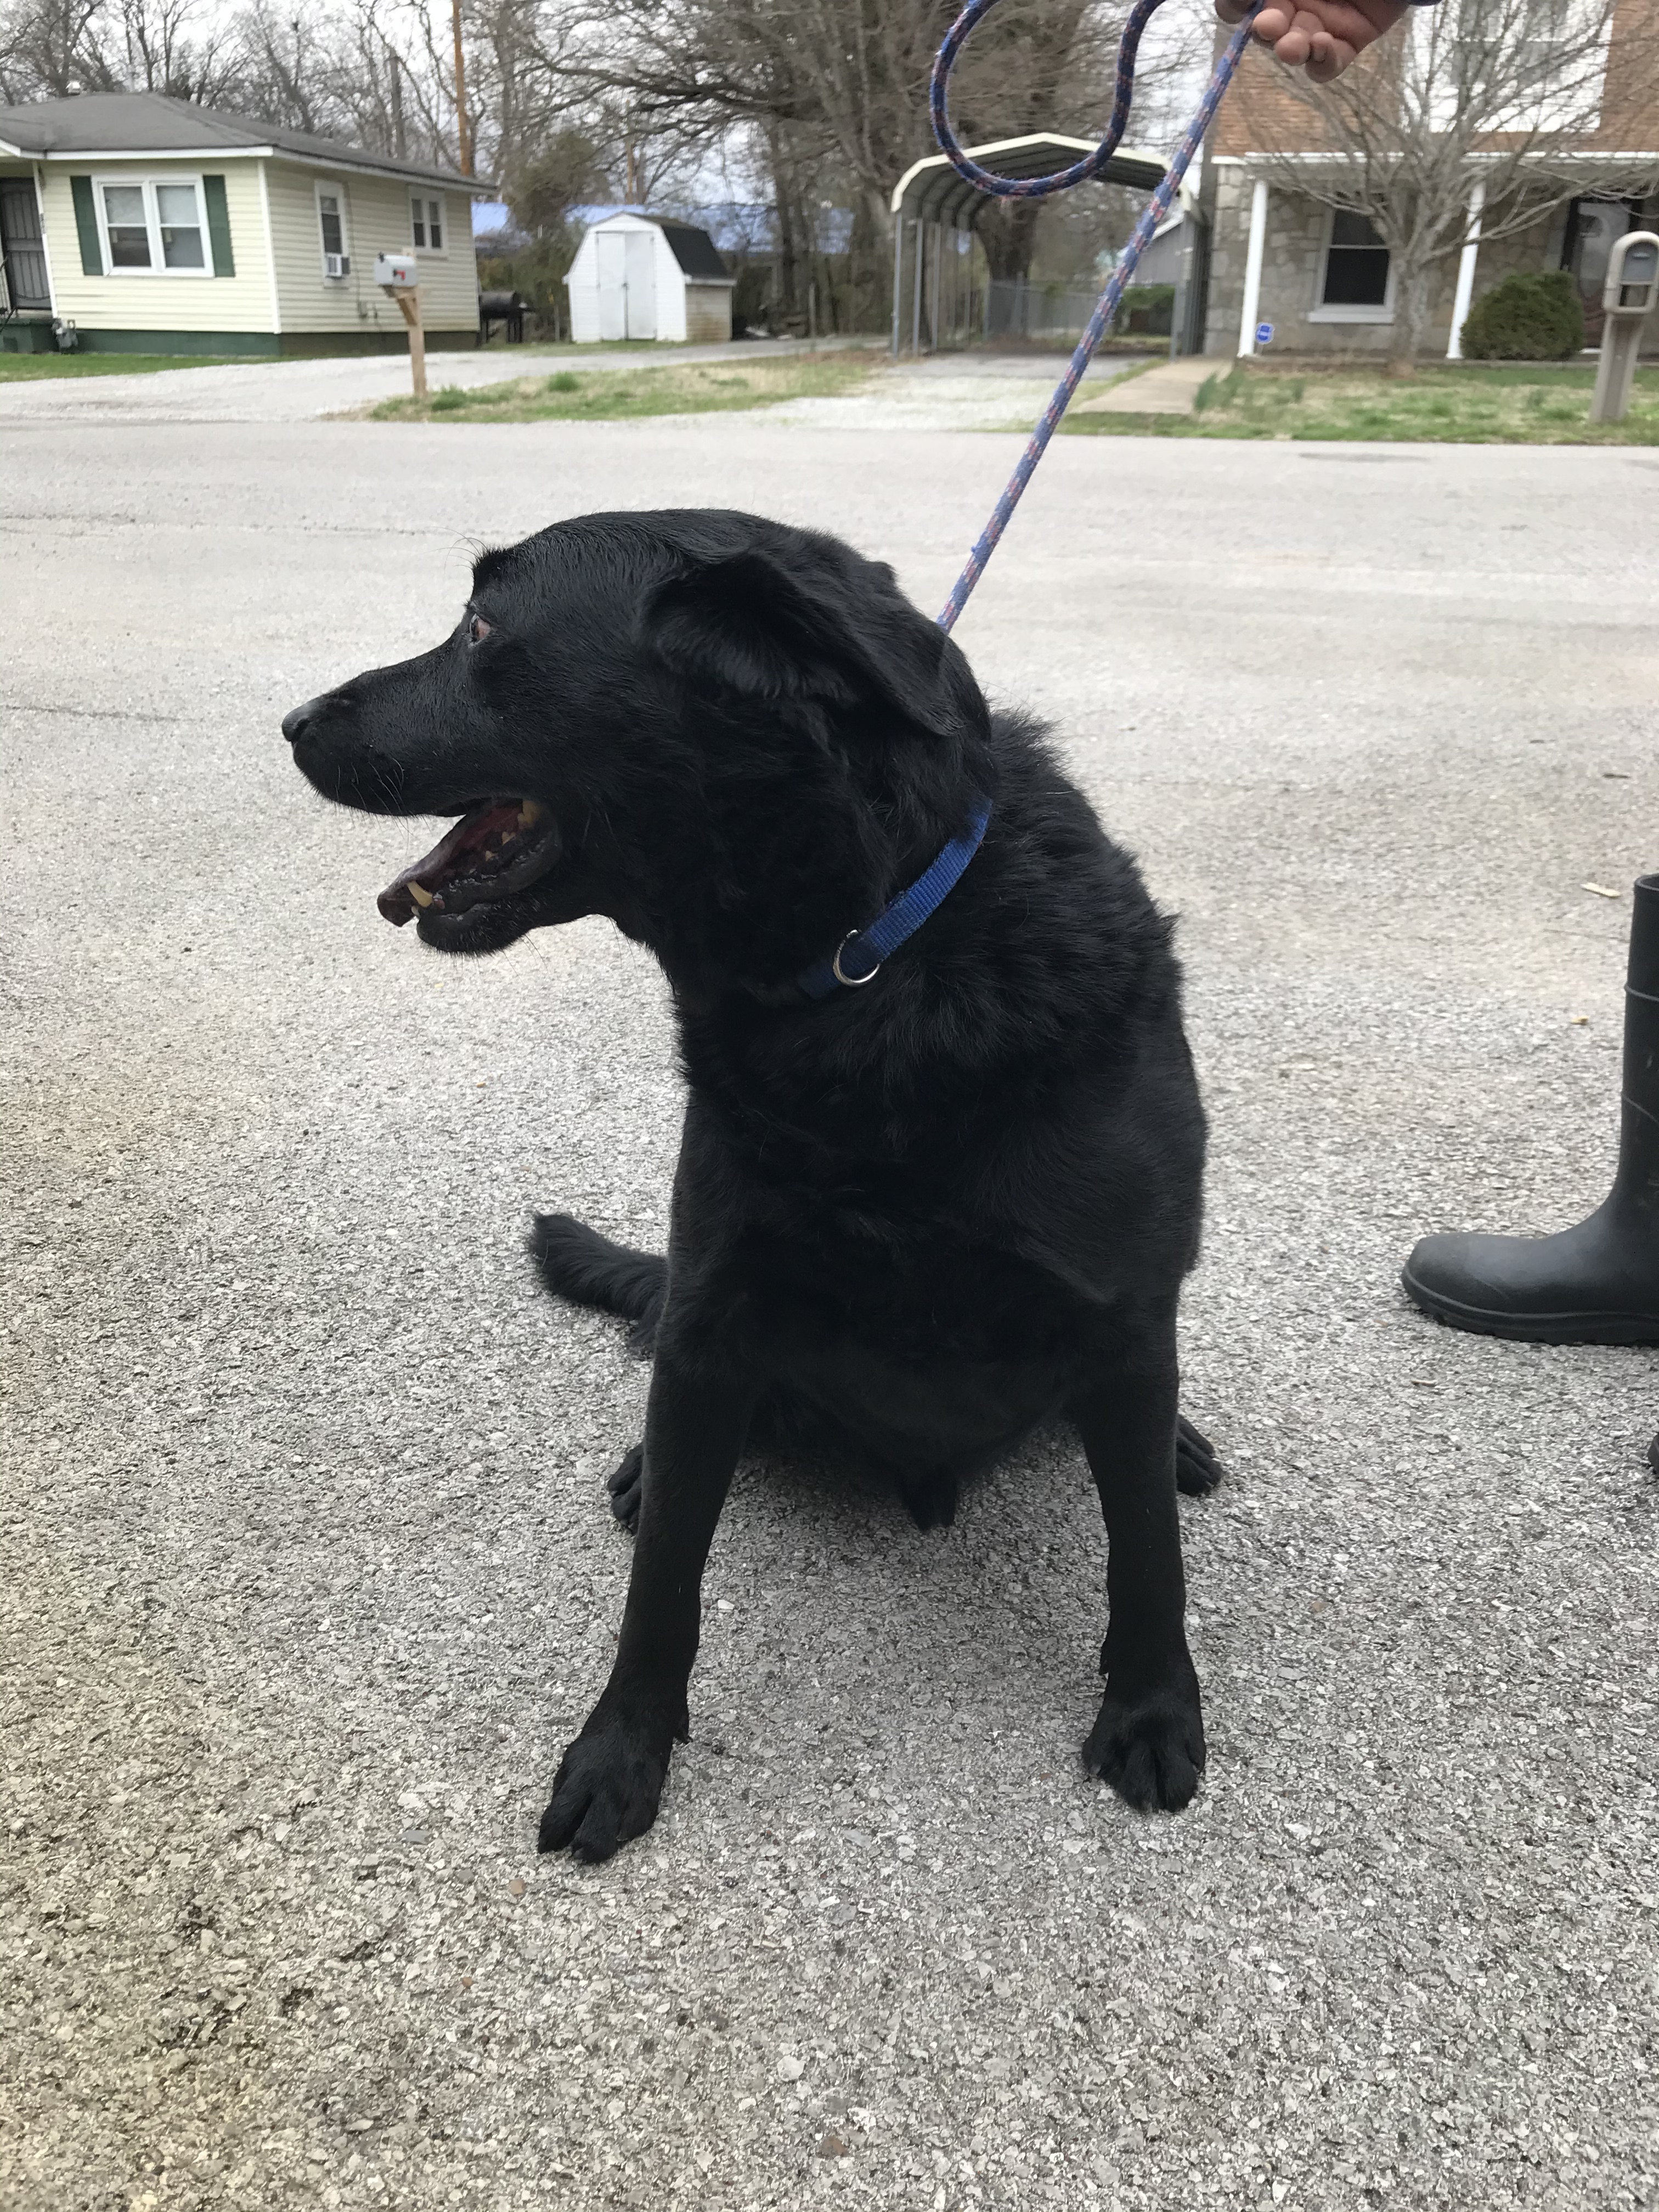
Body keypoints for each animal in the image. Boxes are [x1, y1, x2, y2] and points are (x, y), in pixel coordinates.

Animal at [285, 509, 1221, 1858]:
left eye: (478, 628)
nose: (292, 721)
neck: (870, 966)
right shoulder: (715, 1318)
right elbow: (663, 1581)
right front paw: (619, 1753)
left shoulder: (1124, 1307)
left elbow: (1148, 1552)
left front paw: (1152, 1709)